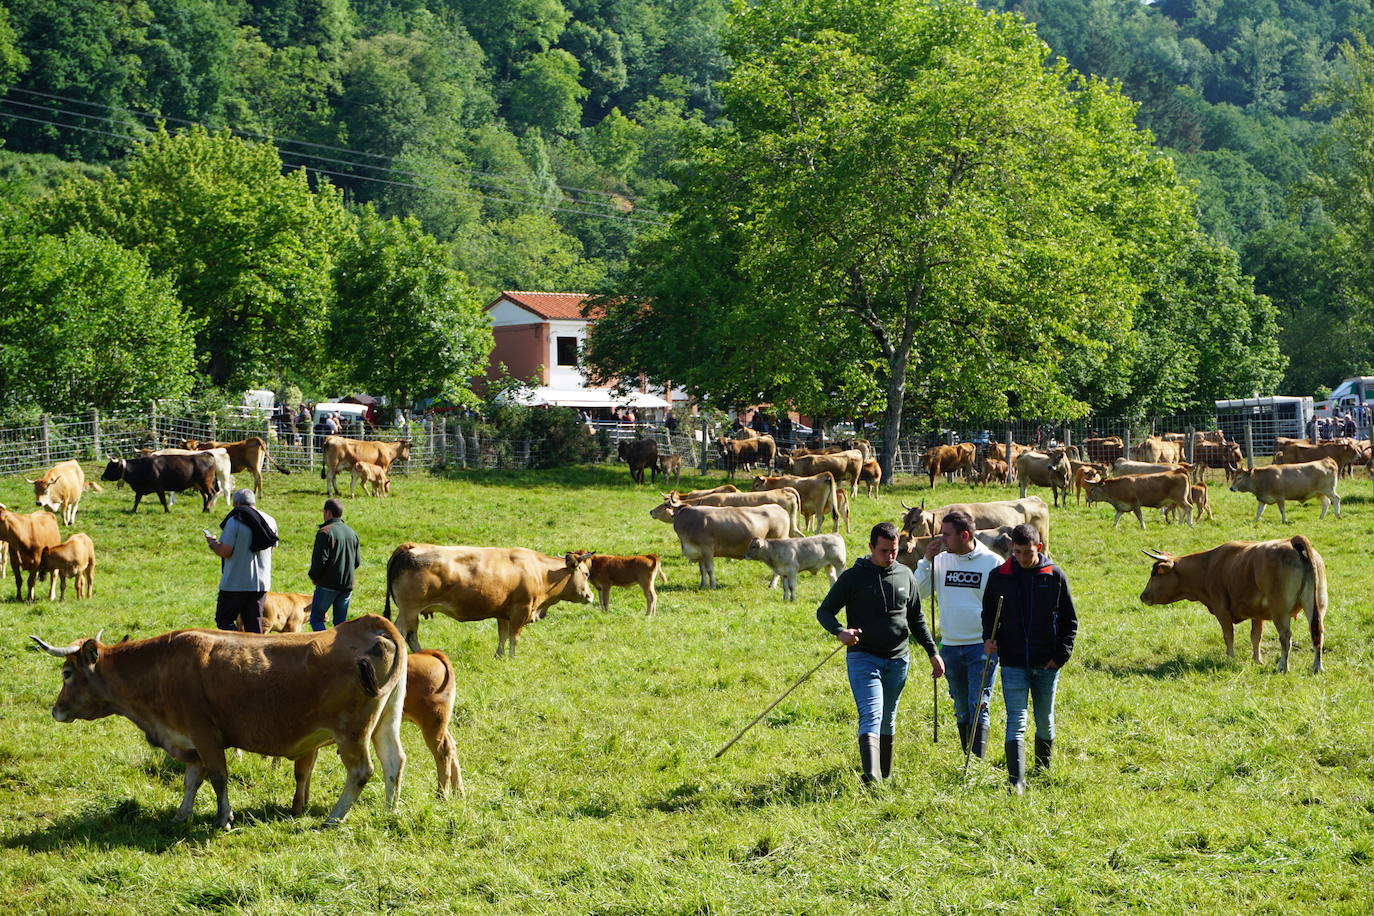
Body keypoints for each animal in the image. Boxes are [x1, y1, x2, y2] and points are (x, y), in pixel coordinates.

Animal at [30, 615, 406, 829]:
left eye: (66, 673)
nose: (56, 711)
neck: (161, 667)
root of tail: (370, 623)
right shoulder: (189, 741)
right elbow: (191, 780)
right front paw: (181, 815)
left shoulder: (205, 736)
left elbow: (218, 778)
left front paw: (224, 818)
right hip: (386, 720)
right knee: (394, 762)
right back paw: (390, 811)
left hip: (352, 732)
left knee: (361, 771)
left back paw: (334, 817)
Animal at [384, 541, 593, 656]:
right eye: (586, 574)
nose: (590, 596)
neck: (541, 571)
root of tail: (410, 547)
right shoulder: (521, 610)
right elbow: (514, 637)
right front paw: (512, 658)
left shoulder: (504, 613)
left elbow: (503, 635)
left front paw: (499, 656)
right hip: (409, 610)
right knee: (400, 632)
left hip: (413, 613)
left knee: (411, 635)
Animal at [403, 648, 464, 796]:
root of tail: (427, 653)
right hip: (440, 723)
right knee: (451, 745)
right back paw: (459, 792)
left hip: (432, 723)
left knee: (443, 750)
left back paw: (442, 795)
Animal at [651, 497, 796, 590]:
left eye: (665, 505)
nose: (651, 511)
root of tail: (778, 508)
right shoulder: (699, 552)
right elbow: (702, 570)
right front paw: (702, 585)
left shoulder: (707, 550)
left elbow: (709, 569)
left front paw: (713, 586)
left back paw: (772, 585)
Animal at [1137, 538, 1330, 672]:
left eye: (1155, 573)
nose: (1142, 596)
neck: (1209, 565)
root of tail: (1292, 542)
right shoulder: (1257, 614)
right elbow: (1256, 637)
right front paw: (1257, 660)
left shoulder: (1221, 610)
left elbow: (1228, 635)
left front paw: (1230, 657)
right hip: (1316, 606)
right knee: (1317, 633)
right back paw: (1317, 667)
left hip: (1279, 611)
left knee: (1285, 637)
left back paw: (1283, 666)